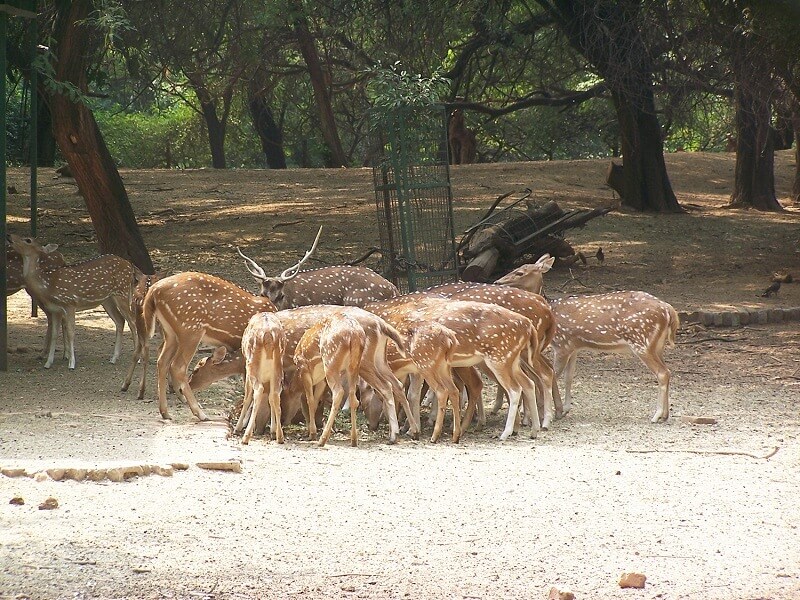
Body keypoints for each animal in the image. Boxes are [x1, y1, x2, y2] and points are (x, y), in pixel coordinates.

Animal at [7, 234, 138, 370]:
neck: (48, 285)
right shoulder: (55, 310)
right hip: (107, 300)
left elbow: (71, 332)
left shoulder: (70, 303)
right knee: (120, 320)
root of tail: (130, 266)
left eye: (28, 240)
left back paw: (137, 357)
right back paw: (113, 358)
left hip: (122, 292)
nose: (9, 236)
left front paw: (71, 363)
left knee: (132, 320)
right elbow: (54, 334)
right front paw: (48, 363)